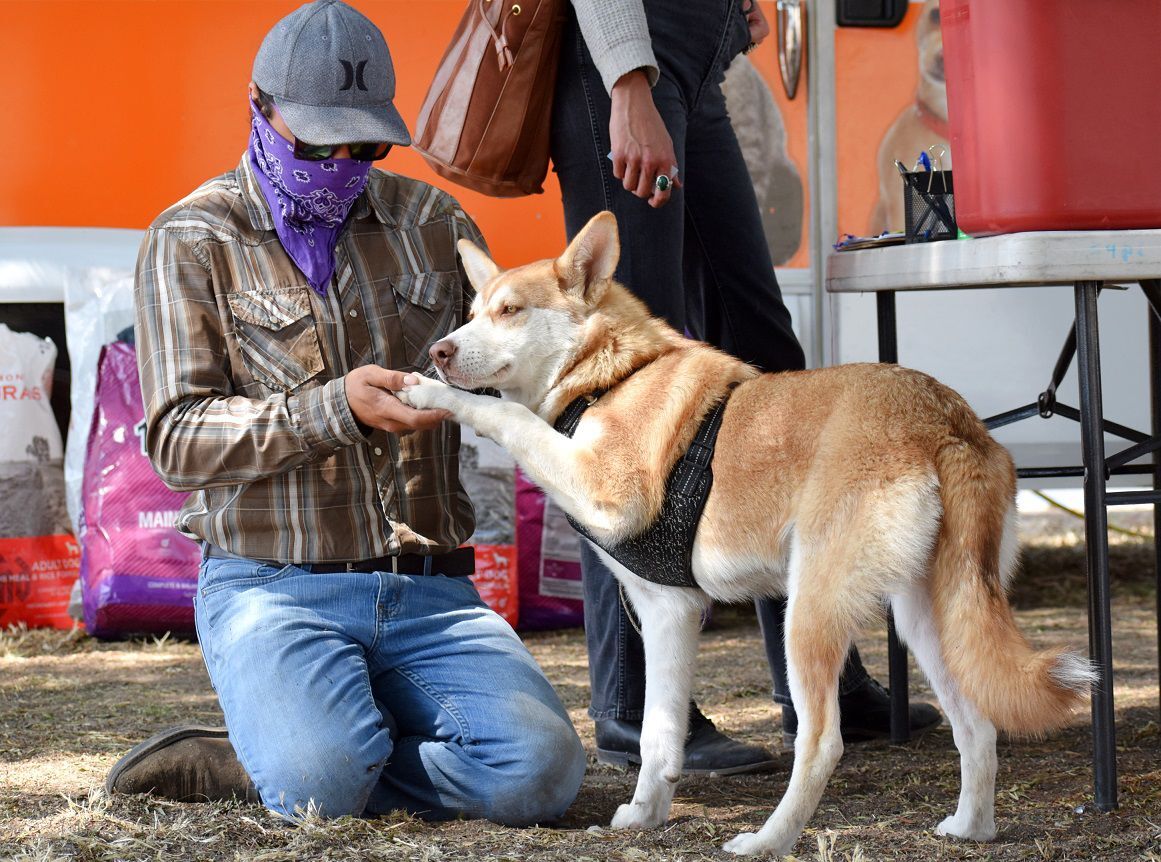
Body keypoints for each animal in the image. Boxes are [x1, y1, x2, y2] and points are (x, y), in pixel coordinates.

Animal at [397, 211, 1086, 859]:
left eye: (510, 311)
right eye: (473, 313)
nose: (439, 353)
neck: (608, 377)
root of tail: (945, 418)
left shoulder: (603, 493)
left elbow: (506, 416)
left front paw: (427, 393)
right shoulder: (667, 612)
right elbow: (659, 735)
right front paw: (643, 816)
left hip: (807, 615)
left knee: (823, 742)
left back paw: (768, 841)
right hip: (928, 619)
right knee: (977, 726)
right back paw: (971, 828)